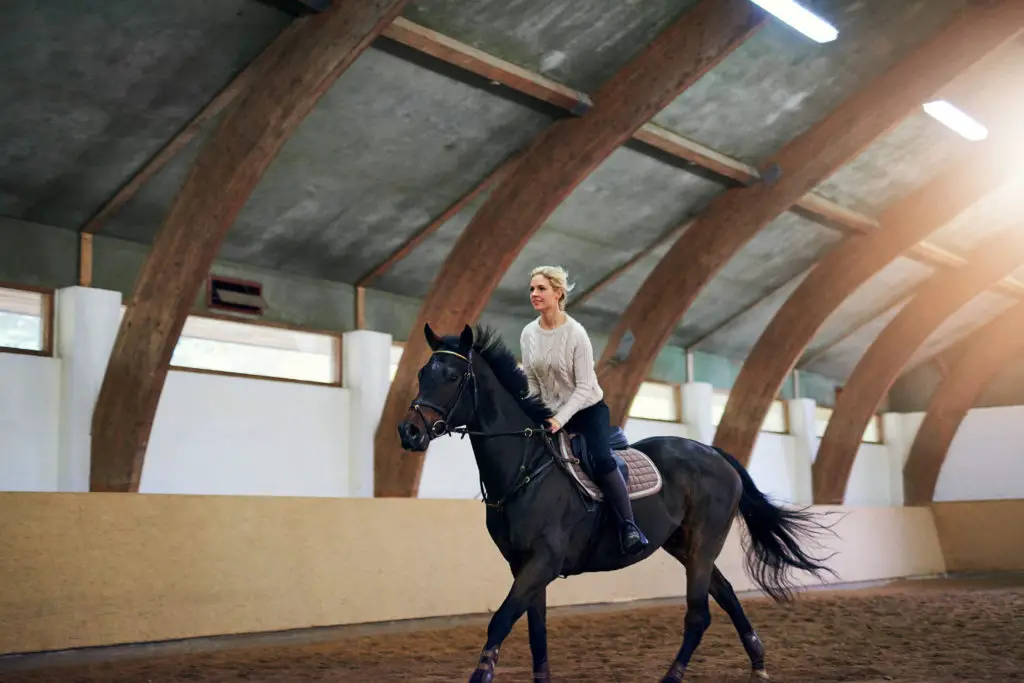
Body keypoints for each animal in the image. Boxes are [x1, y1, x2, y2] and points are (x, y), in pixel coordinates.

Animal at [395, 323, 835, 679]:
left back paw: (673, 677)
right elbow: (536, 631)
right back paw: (758, 663)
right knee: (724, 595)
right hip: (685, 546)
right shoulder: (523, 564)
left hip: (704, 542)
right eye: (421, 373)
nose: (409, 432)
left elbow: (501, 621)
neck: (527, 467)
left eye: (453, 376)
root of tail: (712, 452)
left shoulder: (544, 561)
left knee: (699, 614)